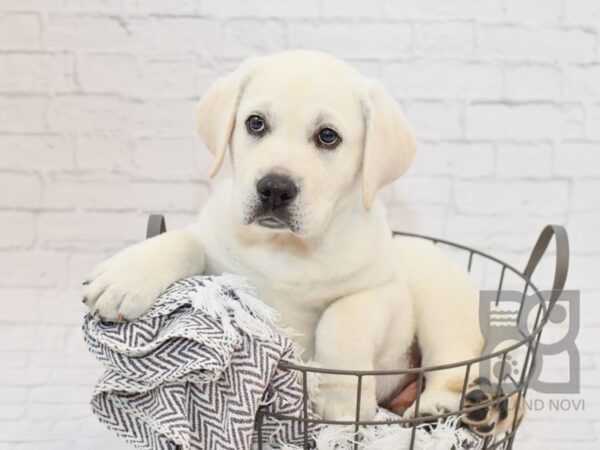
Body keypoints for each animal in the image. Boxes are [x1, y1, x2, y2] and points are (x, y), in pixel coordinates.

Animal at [83, 51, 520, 434]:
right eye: (255, 123)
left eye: (328, 136)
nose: (275, 189)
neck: (289, 248)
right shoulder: (218, 255)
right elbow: (182, 241)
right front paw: (126, 278)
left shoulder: (380, 291)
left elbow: (341, 321)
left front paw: (341, 401)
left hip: (438, 296)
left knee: (454, 363)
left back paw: (458, 407)